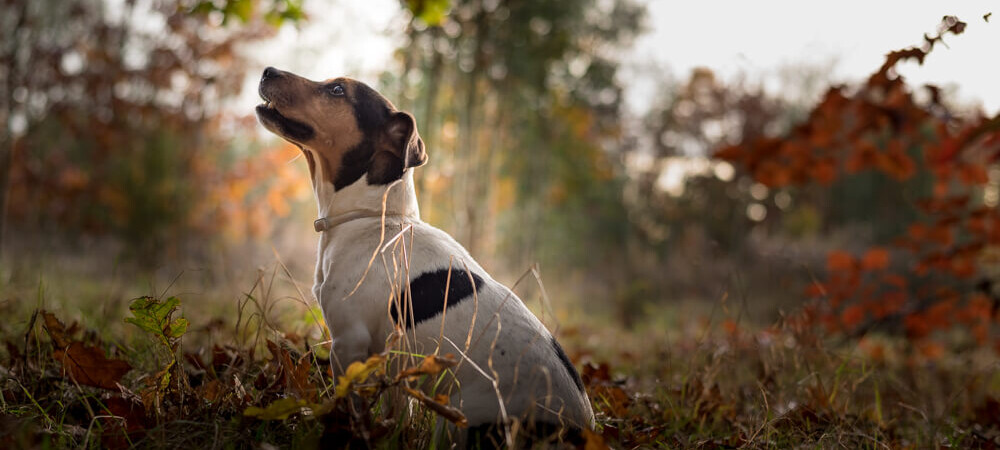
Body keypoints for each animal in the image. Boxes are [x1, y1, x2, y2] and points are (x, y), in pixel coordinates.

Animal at [254, 67, 592, 442]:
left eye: (338, 90)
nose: (268, 70)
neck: (376, 217)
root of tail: (578, 430)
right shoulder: (394, 363)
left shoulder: (348, 342)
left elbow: (347, 404)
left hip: (457, 418)